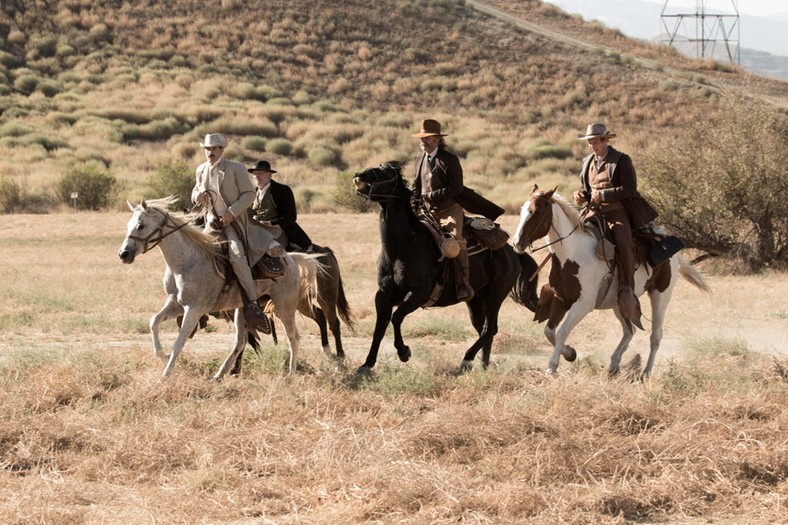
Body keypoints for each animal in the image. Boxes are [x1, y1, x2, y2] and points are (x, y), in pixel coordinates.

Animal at [354, 162, 540, 370]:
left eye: (386, 172)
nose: (360, 175)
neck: (402, 248)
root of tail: (513, 254)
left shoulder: (419, 293)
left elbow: (396, 318)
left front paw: (404, 352)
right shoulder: (384, 294)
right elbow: (380, 327)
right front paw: (366, 365)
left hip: (495, 295)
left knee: (489, 329)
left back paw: (467, 360)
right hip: (475, 300)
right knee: (486, 330)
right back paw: (483, 366)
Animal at [510, 184, 708, 376]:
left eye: (537, 211)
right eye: (522, 211)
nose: (517, 242)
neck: (572, 253)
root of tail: (671, 251)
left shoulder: (583, 304)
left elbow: (562, 331)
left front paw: (552, 366)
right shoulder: (561, 299)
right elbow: (550, 331)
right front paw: (570, 353)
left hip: (660, 296)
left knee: (655, 336)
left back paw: (646, 373)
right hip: (620, 303)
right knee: (630, 331)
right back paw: (614, 364)